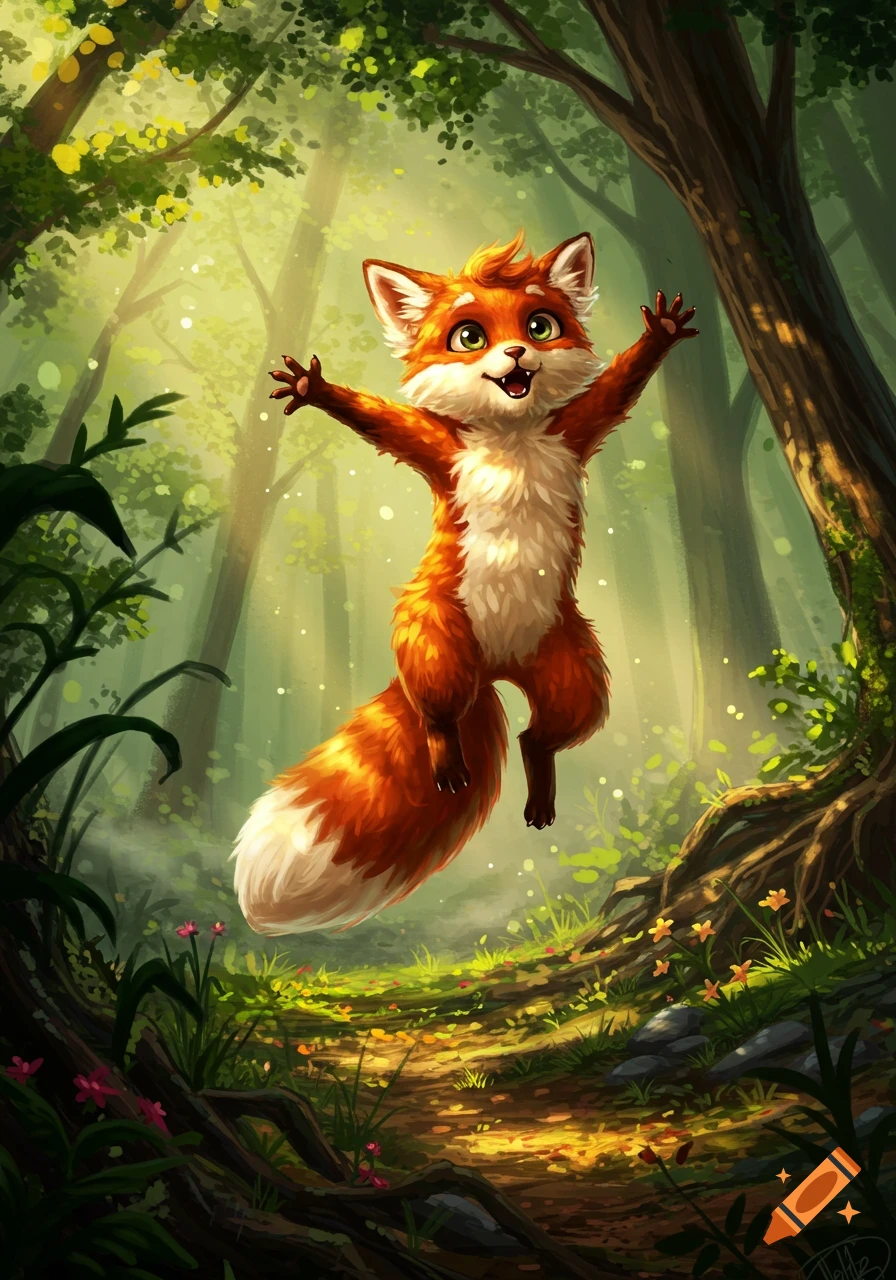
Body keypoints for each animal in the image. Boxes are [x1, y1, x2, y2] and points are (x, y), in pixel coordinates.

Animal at [231, 230, 697, 935]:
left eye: (540, 325)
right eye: (469, 336)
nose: (517, 354)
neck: (511, 441)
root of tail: (495, 668)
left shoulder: (576, 429)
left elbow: (618, 386)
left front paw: (661, 334)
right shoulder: (436, 449)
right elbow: (380, 419)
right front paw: (316, 387)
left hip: (575, 672)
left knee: (540, 737)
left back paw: (539, 788)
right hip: (438, 639)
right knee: (439, 717)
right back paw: (447, 755)